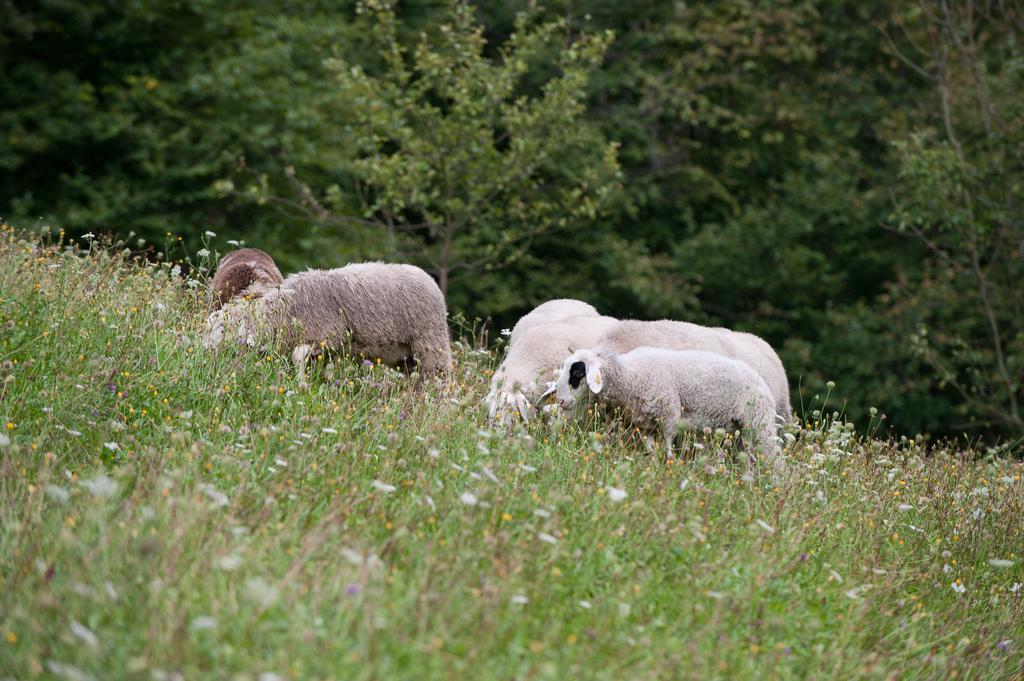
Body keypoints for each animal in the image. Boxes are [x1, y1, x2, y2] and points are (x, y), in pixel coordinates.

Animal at [201, 261, 450, 382]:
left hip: (430, 342)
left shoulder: (325, 336)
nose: (203, 352)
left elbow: (297, 357)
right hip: (404, 355)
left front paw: (300, 384)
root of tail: (428, 278)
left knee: (439, 380)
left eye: (222, 330)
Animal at [552, 348, 774, 458]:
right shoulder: (647, 426)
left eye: (578, 373)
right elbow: (651, 450)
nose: (560, 401)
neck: (632, 375)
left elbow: (667, 449)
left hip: (760, 424)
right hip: (736, 430)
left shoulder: (669, 416)